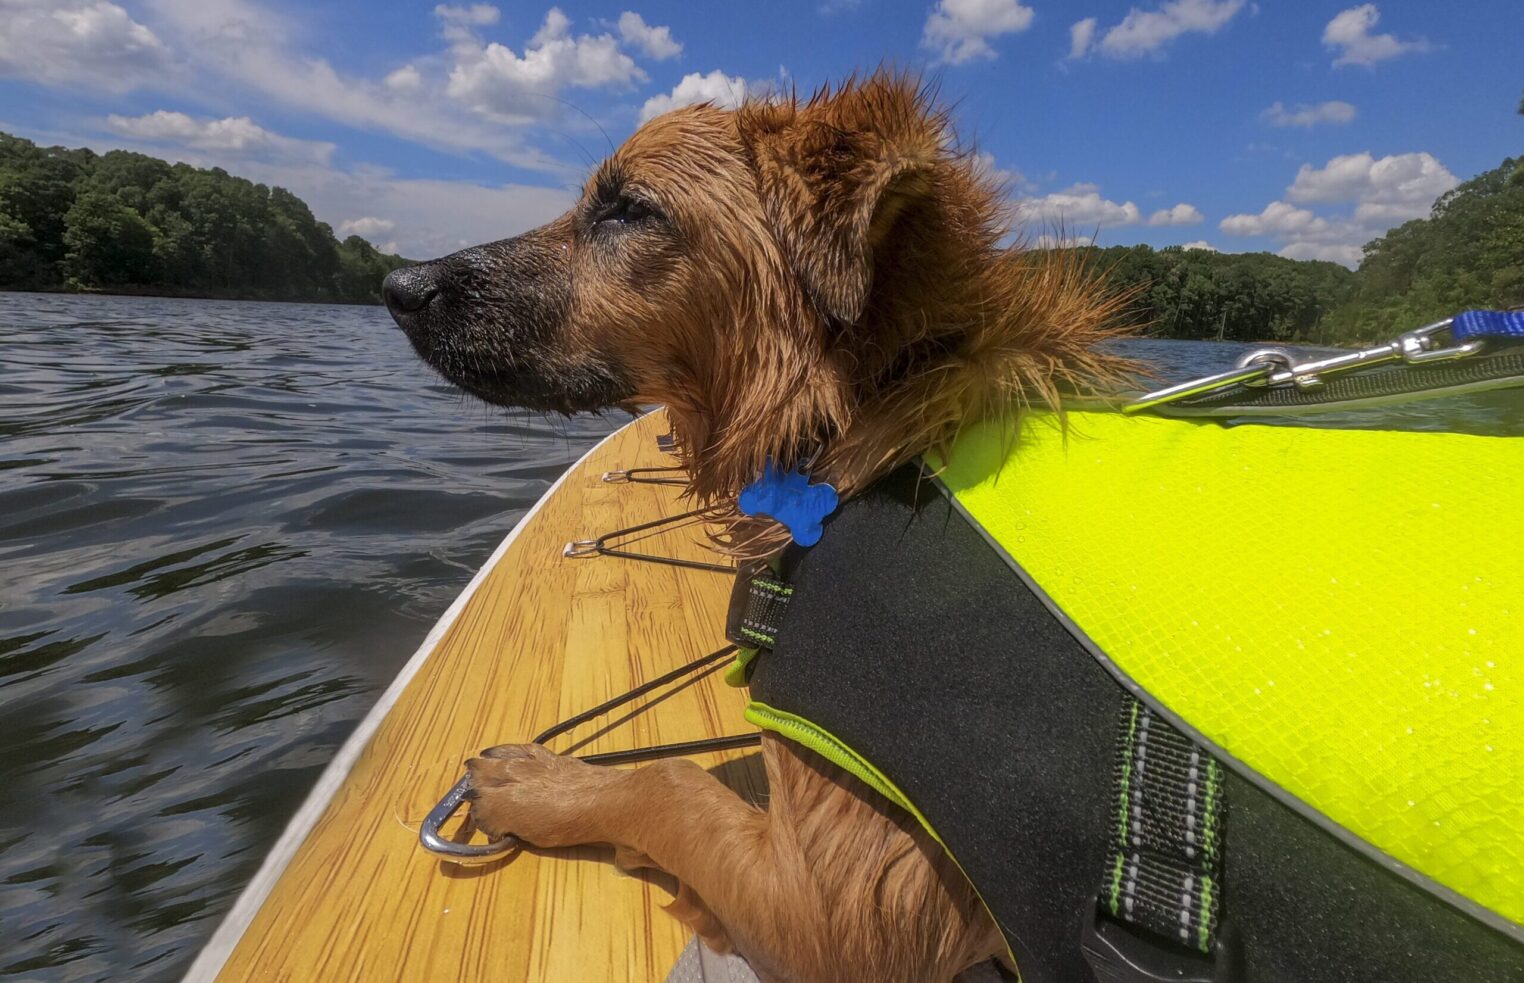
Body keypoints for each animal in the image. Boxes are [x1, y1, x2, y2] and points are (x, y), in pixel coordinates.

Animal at [387, 72, 1133, 975]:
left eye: (628, 209)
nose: (398, 285)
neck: (869, 405)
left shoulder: (849, 914)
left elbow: (668, 784)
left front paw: (542, 783)